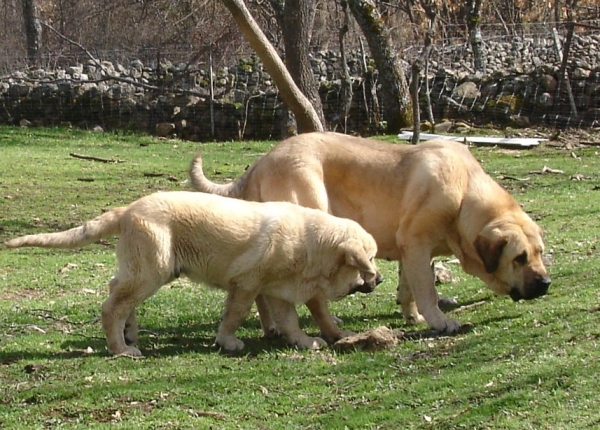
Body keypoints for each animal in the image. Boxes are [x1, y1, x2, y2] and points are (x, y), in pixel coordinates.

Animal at [5, 191, 380, 356]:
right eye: (371, 260)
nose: (380, 279)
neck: (313, 244)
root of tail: (128, 210)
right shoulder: (246, 285)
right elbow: (235, 314)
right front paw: (228, 341)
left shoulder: (277, 290)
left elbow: (289, 321)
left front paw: (303, 341)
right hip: (151, 270)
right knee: (111, 306)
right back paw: (121, 348)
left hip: (142, 269)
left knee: (117, 293)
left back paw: (130, 333)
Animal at [190, 131, 552, 332]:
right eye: (519, 258)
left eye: (540, 253)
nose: (546, 283)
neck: (465, 193)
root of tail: (261, 162)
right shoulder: (416, 244)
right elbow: (427, 290)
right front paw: (440, 321)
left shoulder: (413, 252)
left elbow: (409, 288)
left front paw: (413, 316)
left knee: (262, 293)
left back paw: (272, 328)